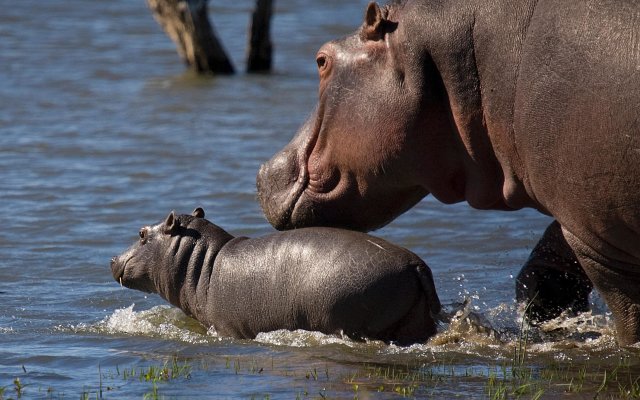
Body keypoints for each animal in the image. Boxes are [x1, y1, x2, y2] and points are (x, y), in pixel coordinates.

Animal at [110, 209, 440, 344]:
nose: (112, 258)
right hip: (413, 321)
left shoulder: (227, 329)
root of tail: (416, 264)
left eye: (142, 233)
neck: (205, 262)